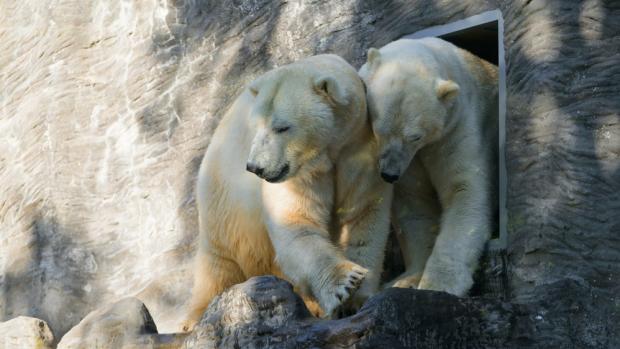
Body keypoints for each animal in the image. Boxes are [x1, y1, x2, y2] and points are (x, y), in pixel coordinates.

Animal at [184, 54, 394, 328]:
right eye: (257, 127)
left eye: (282, 127)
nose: (255, 167)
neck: (329, 151)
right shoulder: (299, 174)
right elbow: (296, 223)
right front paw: (345, 282)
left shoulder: (360, 152)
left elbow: (363, 218)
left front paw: (359, 298)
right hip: (224, 209)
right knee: (219, 267)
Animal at [358, 37, 498, 294]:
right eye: (378, 128)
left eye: (415, 136)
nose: (389, 174)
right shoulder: (410, 162)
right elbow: (415, 203)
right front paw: (407, 279)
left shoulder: (457, 125)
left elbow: (463, 187)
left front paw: (440, 283)